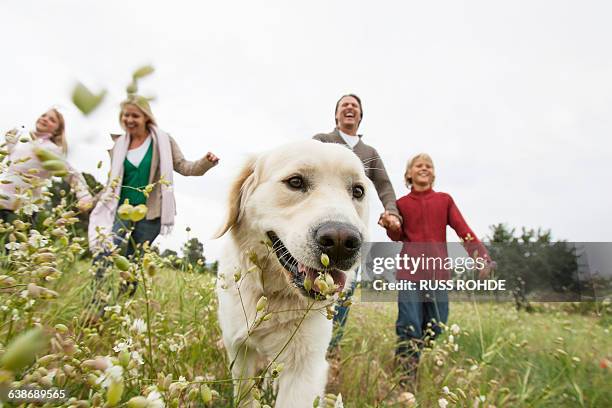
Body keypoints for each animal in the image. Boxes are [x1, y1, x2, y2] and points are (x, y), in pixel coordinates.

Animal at [215, 139, 368, 404]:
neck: (273, 297)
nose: (342, 241)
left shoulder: (305, 367)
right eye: (295, 182)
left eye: (357, 191)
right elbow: (245, 395)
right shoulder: (239, 348)